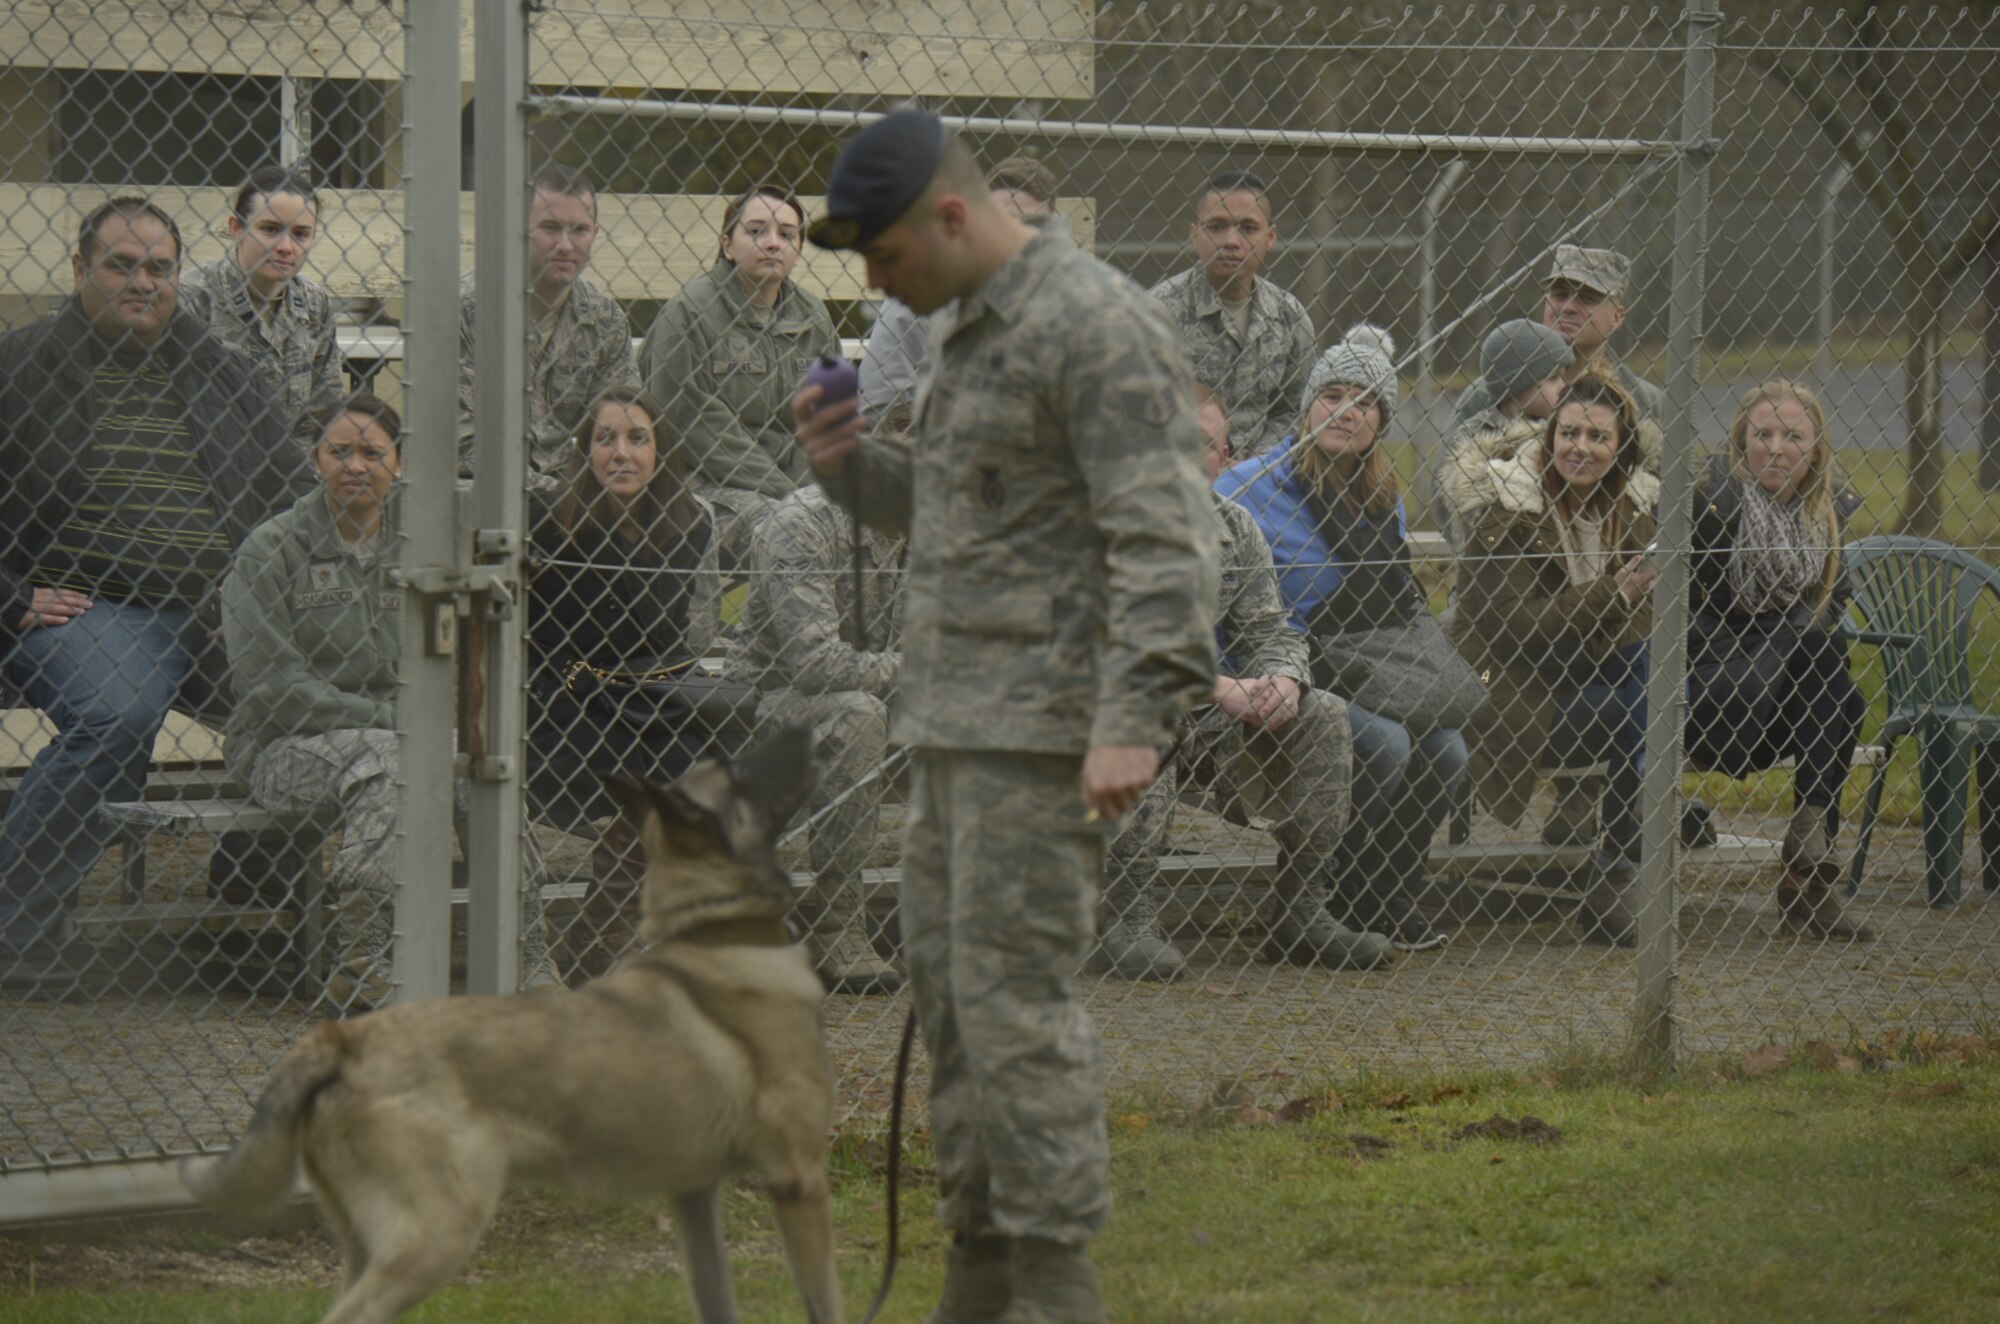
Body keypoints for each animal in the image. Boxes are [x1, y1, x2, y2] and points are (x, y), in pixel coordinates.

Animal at [180, 732, 844, 1324]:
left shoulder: (694, 1193)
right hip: (436, 1235)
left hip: (373, 1245)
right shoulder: (799, 1179)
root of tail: (343, 1041)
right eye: (742, 774)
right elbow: (823, 1304)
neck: (718, 934)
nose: (812, 734)